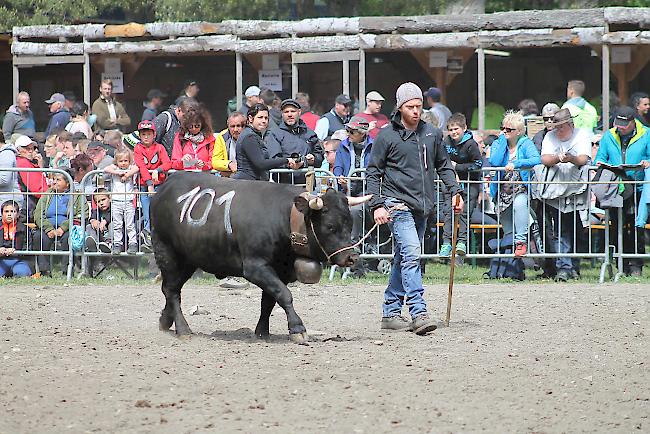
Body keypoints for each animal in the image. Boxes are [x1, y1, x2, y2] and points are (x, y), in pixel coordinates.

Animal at [149, 171, 368, 344]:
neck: (284, 218)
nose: (352, 257)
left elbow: (269, 301)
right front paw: (297, 329)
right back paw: (183, 329)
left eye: (350, 223)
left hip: (189, 259)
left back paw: (165, 321)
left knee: (172, 289)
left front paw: (262, 332)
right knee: (171, 290)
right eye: (330, 226)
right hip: (166, 252)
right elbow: (284, 295)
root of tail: (164, 187)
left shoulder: (280, 270)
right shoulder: (255, 267)